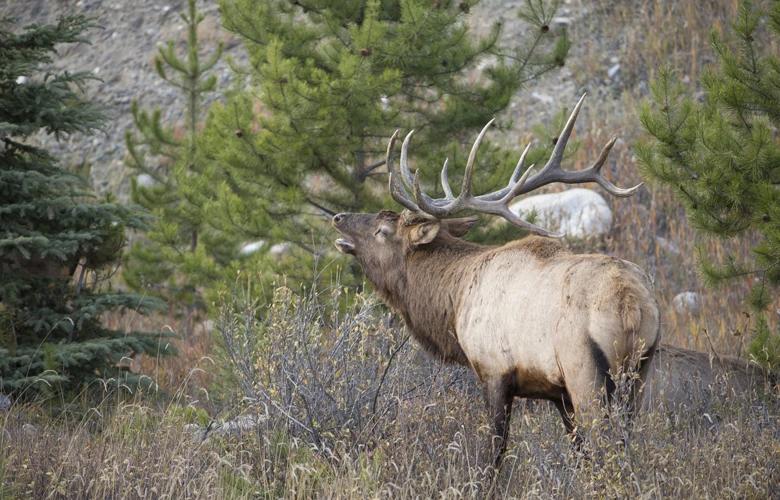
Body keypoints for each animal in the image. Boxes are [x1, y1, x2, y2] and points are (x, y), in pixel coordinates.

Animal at [330, 94, 660, 464]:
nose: (338, 217)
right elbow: (577, 450)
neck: (454, 303)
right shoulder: (557, 393)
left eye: (382, 231)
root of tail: (631, 304)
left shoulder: (494, 370)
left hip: (585, 370)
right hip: (640, 372)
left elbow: (494, 453)